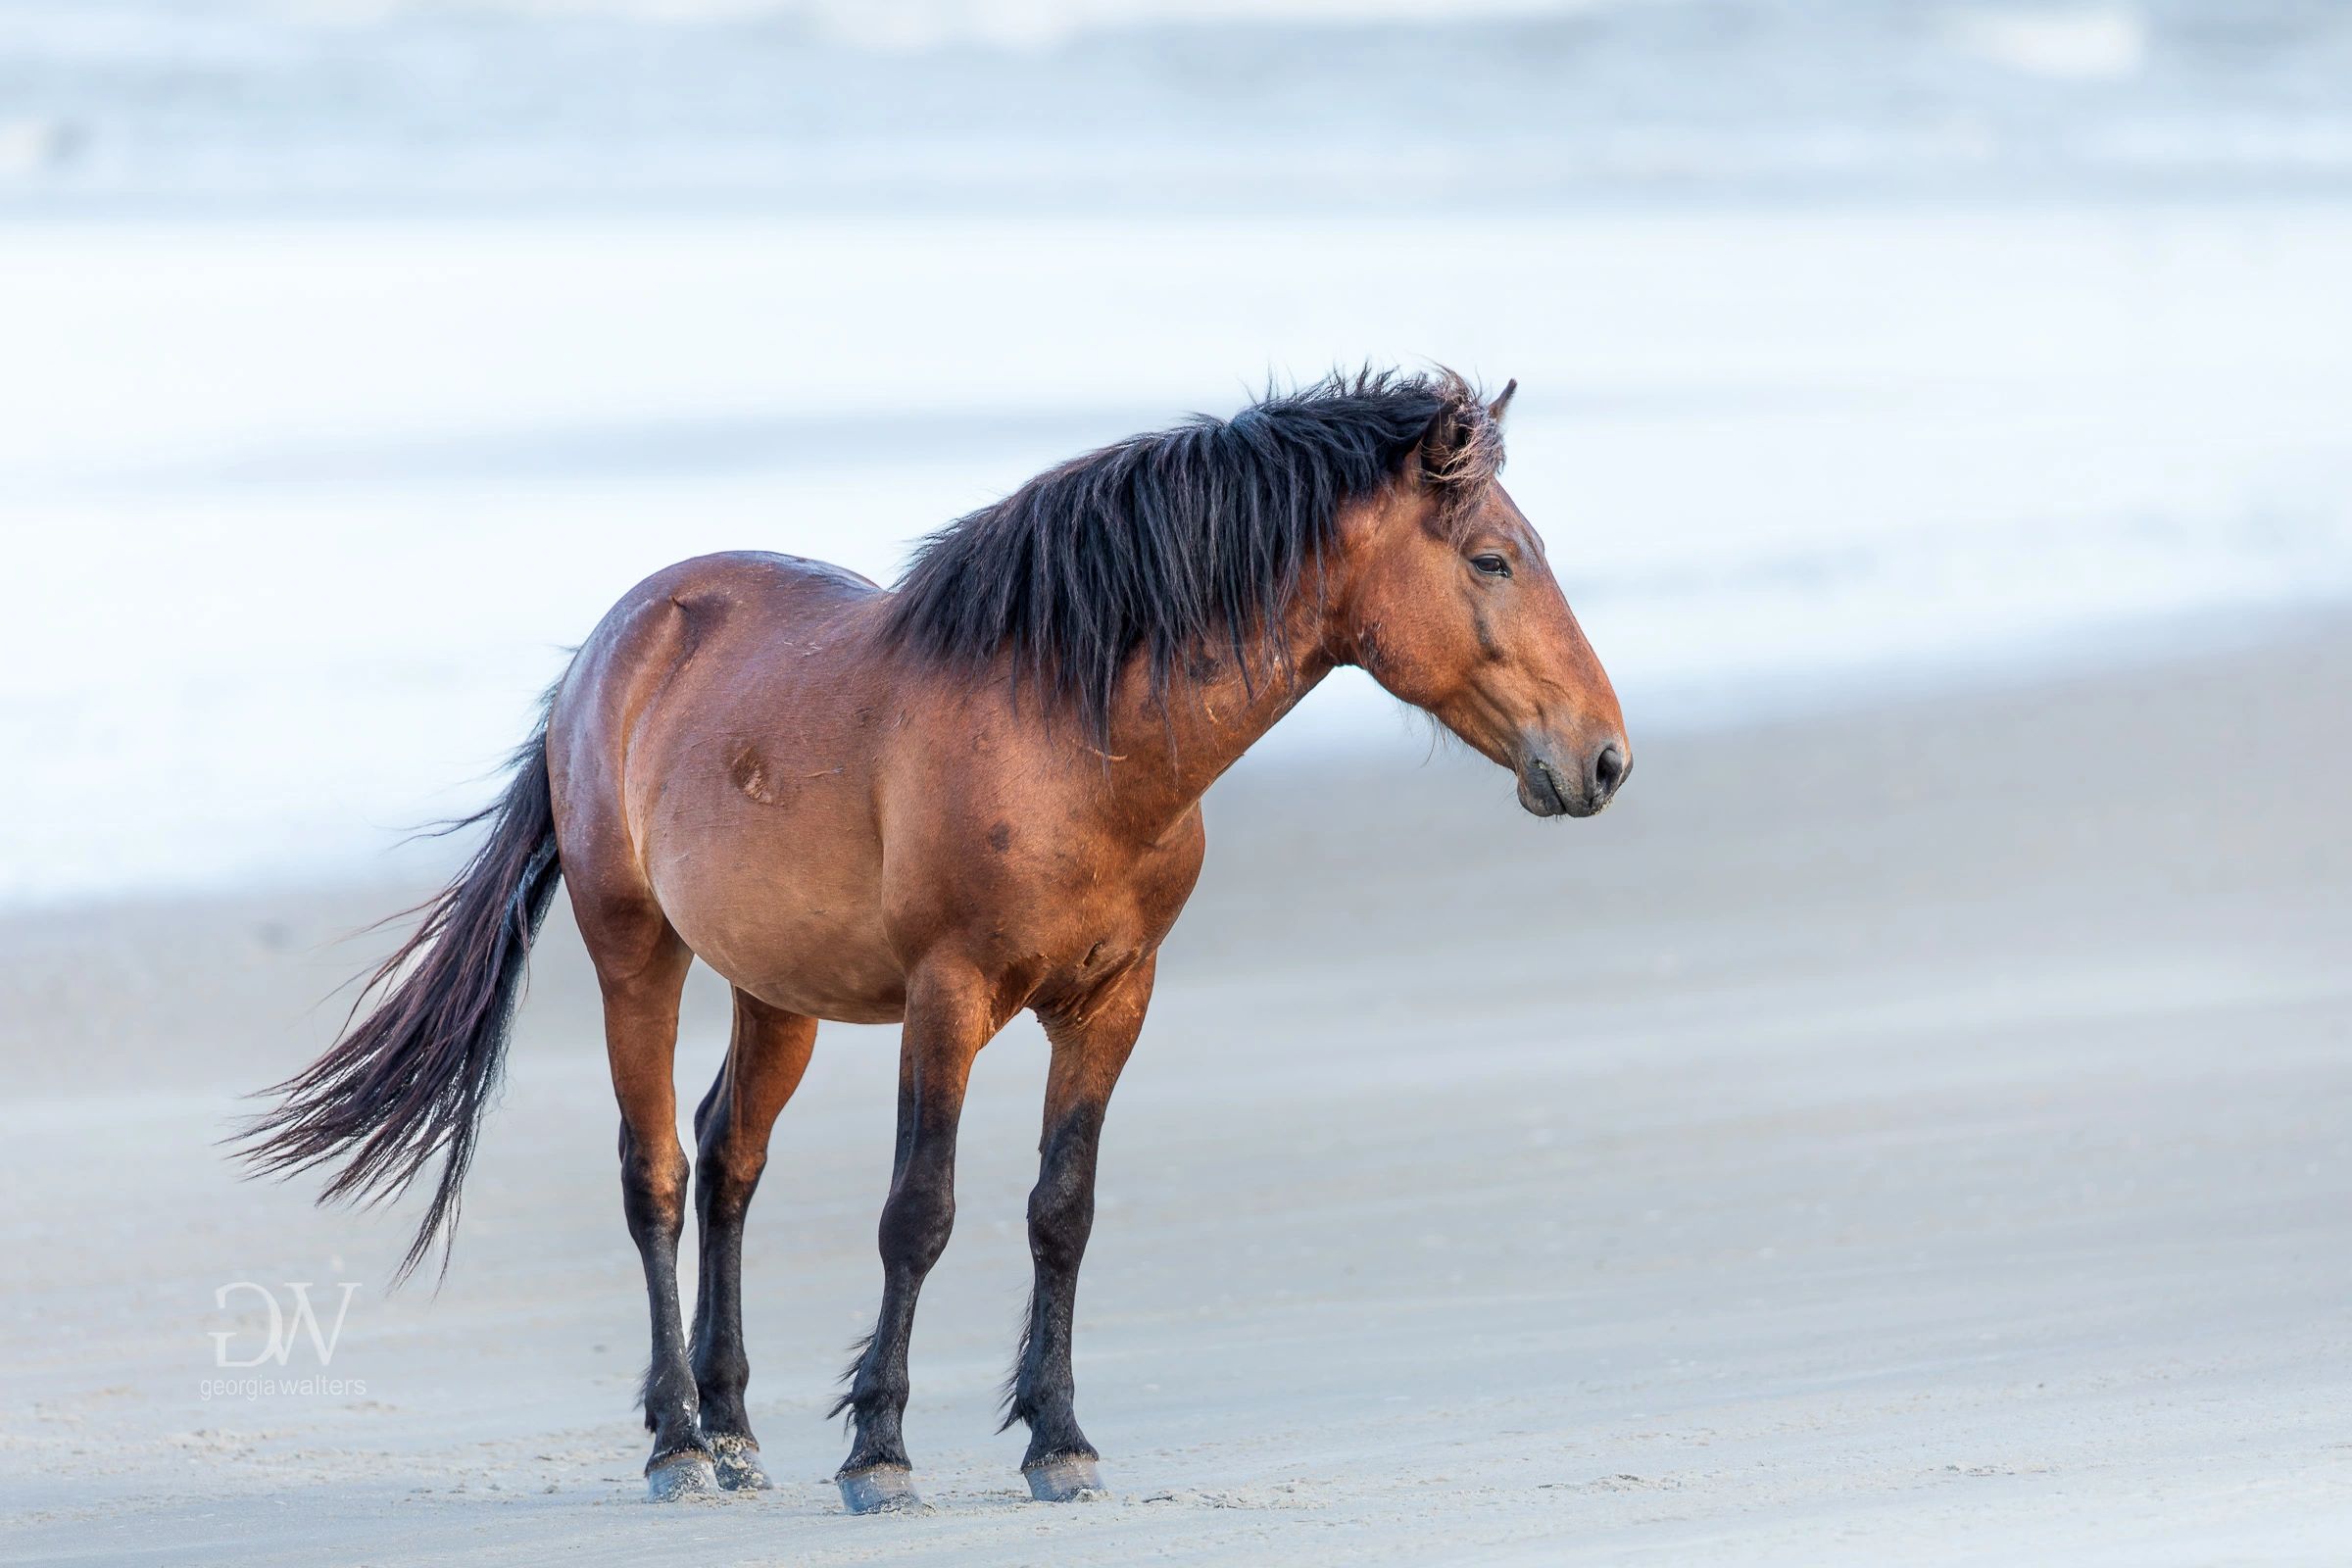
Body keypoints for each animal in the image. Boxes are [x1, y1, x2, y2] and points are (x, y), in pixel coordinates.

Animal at [240, 368, 1629, 1510]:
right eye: (1493, 560)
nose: (1605, 757)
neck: (1076, 734)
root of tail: (614, 642)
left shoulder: (1115, 1000)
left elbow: (1061, 1210)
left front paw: (1060, 1441)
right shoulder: (947, 999)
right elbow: (920, 1211)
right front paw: (880, 1452)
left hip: (775, 991)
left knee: (729, 1157)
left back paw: (735, 1430)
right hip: (636, 952)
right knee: (658, 1176)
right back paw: (679, 1444)